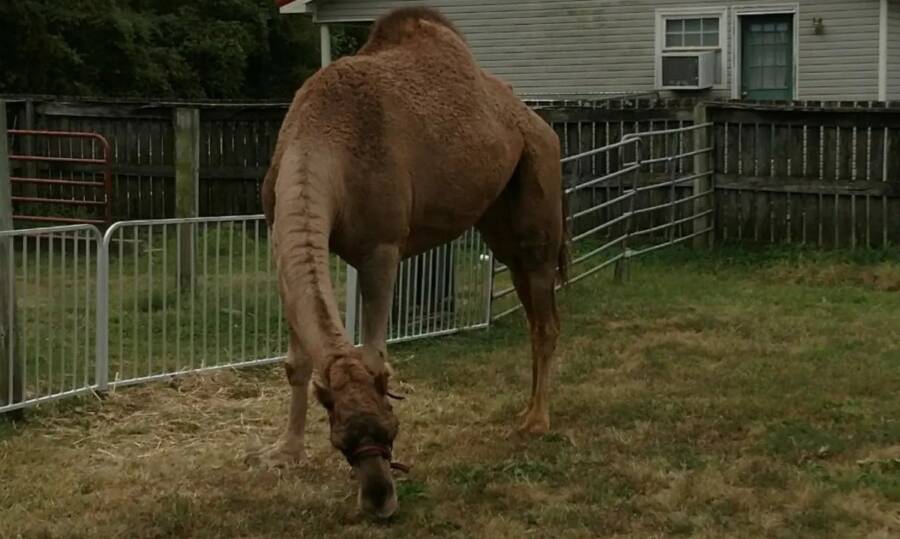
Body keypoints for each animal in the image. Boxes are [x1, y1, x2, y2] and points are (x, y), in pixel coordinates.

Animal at [254, 7, 567, 518]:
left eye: (390, 427)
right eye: (340, 440)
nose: (380, 500)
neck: (323, 137)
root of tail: (537, 121)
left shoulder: (381, 247)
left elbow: (374, 352)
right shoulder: (282, 235)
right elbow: (297, 361)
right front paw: (284, 452)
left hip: (537, 181)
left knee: (544, 314)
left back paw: (536, 422)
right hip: (498, 218)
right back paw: (526, 411)